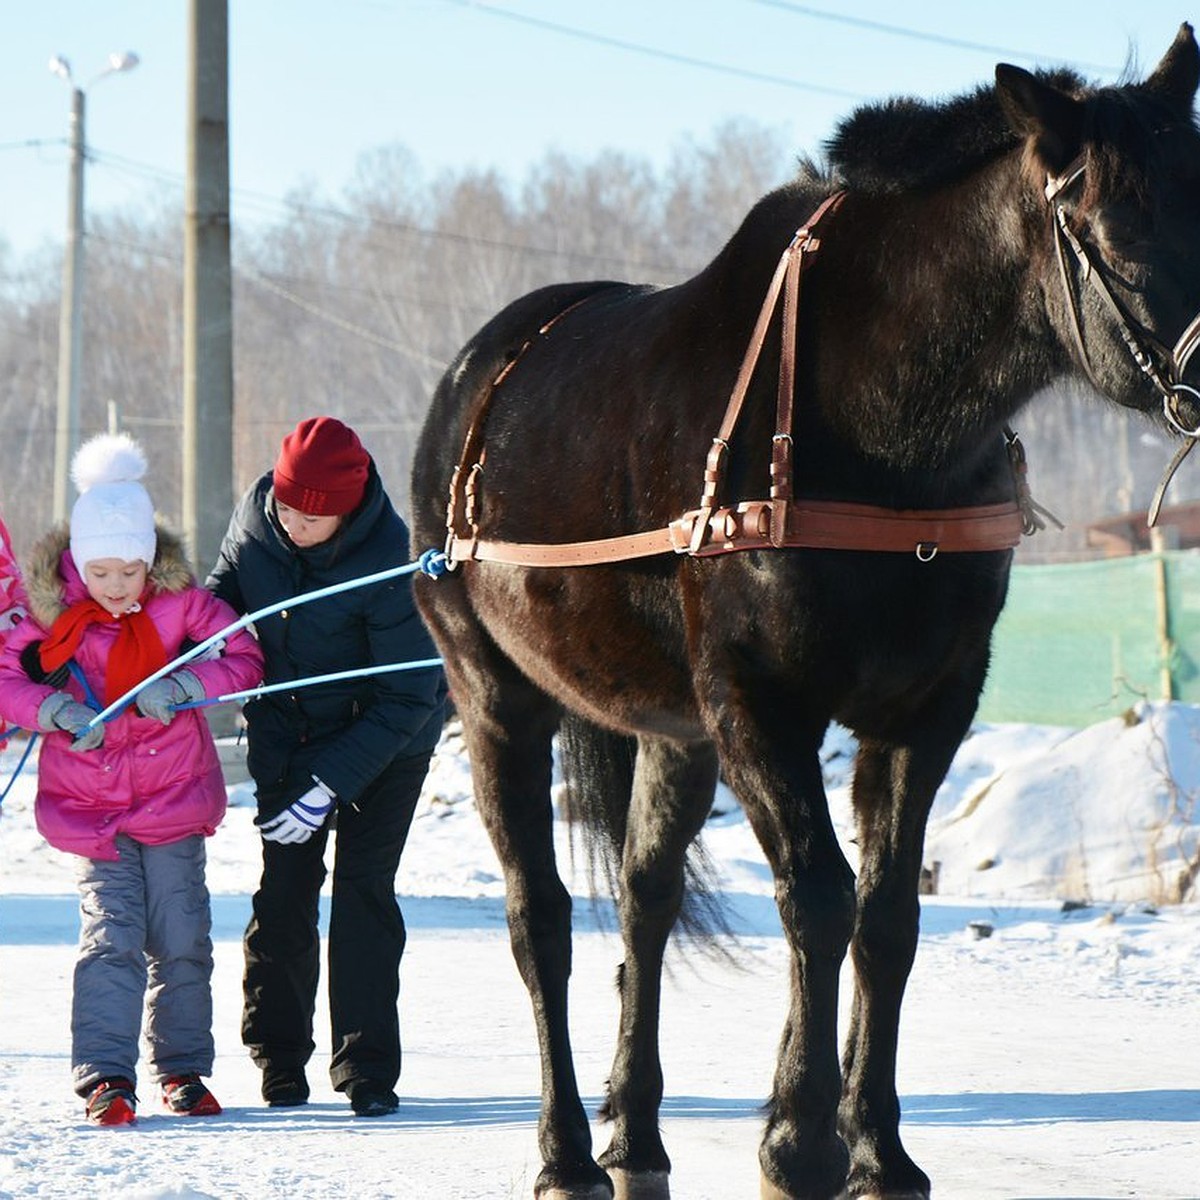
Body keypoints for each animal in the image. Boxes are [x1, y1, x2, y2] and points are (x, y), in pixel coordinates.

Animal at [410, 28, 1200, 1200]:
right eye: (1119, 231)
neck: (876, 430)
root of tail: (480, 373)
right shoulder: (759, 705)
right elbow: (819, 900)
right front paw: (804, 1139)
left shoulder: (924, 707)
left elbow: (887, 915)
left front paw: (876, 1144)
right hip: (495, 696)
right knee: (537, 917)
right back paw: (565, 1150)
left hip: (670, 732)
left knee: (644, 899)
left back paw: (635, 1131)